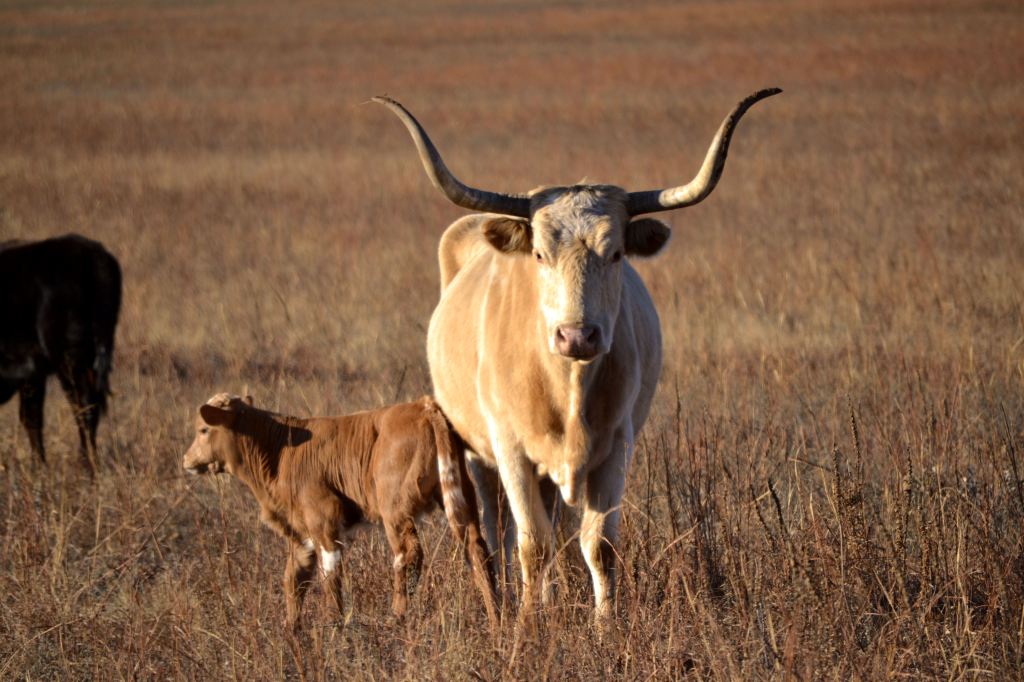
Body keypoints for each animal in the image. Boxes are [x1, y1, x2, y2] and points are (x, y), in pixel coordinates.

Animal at [0, 233, 122, 475]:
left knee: (83, 408)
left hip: (70, 363)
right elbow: (32, 419)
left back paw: (88, 467)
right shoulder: (32, 375)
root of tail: (91, 254)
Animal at [182, 393, 499, 631]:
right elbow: (293, 578)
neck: (280, 452)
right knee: (476, 548)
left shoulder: (324, 521)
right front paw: (291, 627)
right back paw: (496, 615)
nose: (186, 459)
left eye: (203, 430)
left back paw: (396, 616)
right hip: (459, 494)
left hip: (394, 507)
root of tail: (424, 407)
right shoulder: (302, 532)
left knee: (408, 554)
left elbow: (329, 575)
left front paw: (333, 623)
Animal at [374, 89, 780, 624]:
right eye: (539, 255)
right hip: (478, 454)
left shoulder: (616, 446)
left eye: (616, 254)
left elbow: (598, 546)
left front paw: (606, 625)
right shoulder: (509, 448)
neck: (565, 384)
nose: (577, 335)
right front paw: (527, 628)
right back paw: (511, 601)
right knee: (499, 533)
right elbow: (530, 545)